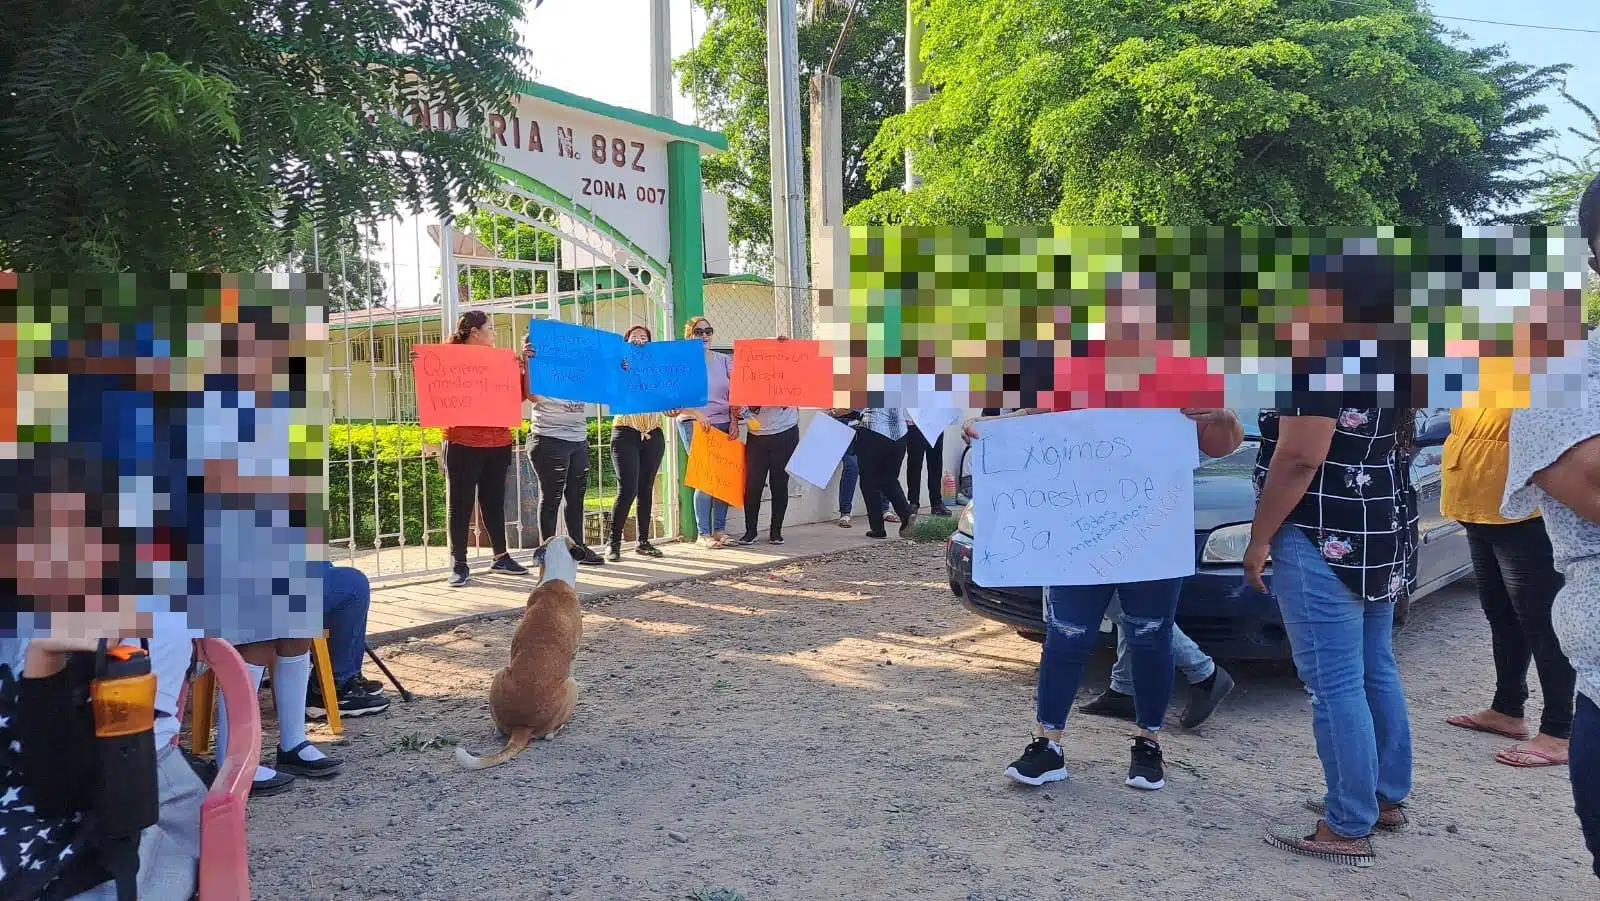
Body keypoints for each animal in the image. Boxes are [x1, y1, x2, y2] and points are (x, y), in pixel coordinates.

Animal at [454, 534, 585, 768]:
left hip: (499, 674)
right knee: (549, 734)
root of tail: (522, 727)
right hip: (572, 686)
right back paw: (559, 728)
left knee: (498, 730)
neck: (555, 579)